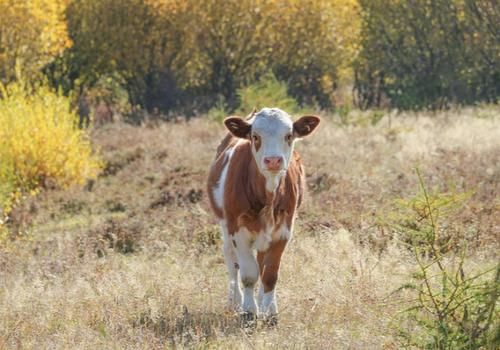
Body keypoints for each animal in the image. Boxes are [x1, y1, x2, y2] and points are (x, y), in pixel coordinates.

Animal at [207, 107, 320, 322]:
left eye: (289, 135)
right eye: (255, 136)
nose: (273, 160)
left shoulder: (284, 230)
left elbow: (270, 274)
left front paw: (269, 312)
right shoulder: (238, 229)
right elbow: (248, 274)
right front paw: (249, 311)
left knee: (260, 262)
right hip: (225, 225)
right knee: (232, 261)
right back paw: (235, 301)